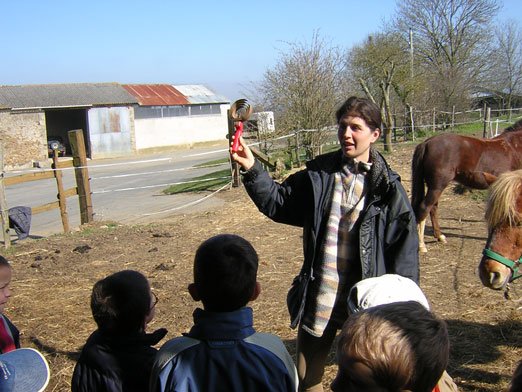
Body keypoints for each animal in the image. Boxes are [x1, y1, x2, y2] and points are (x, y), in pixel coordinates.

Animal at [408, 121, 520, 253]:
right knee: (424, 208)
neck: (515, 146)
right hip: (437, 186)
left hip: (435, 187)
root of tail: (426, 143)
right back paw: (421, 246)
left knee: (433, 208)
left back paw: (440, 236)